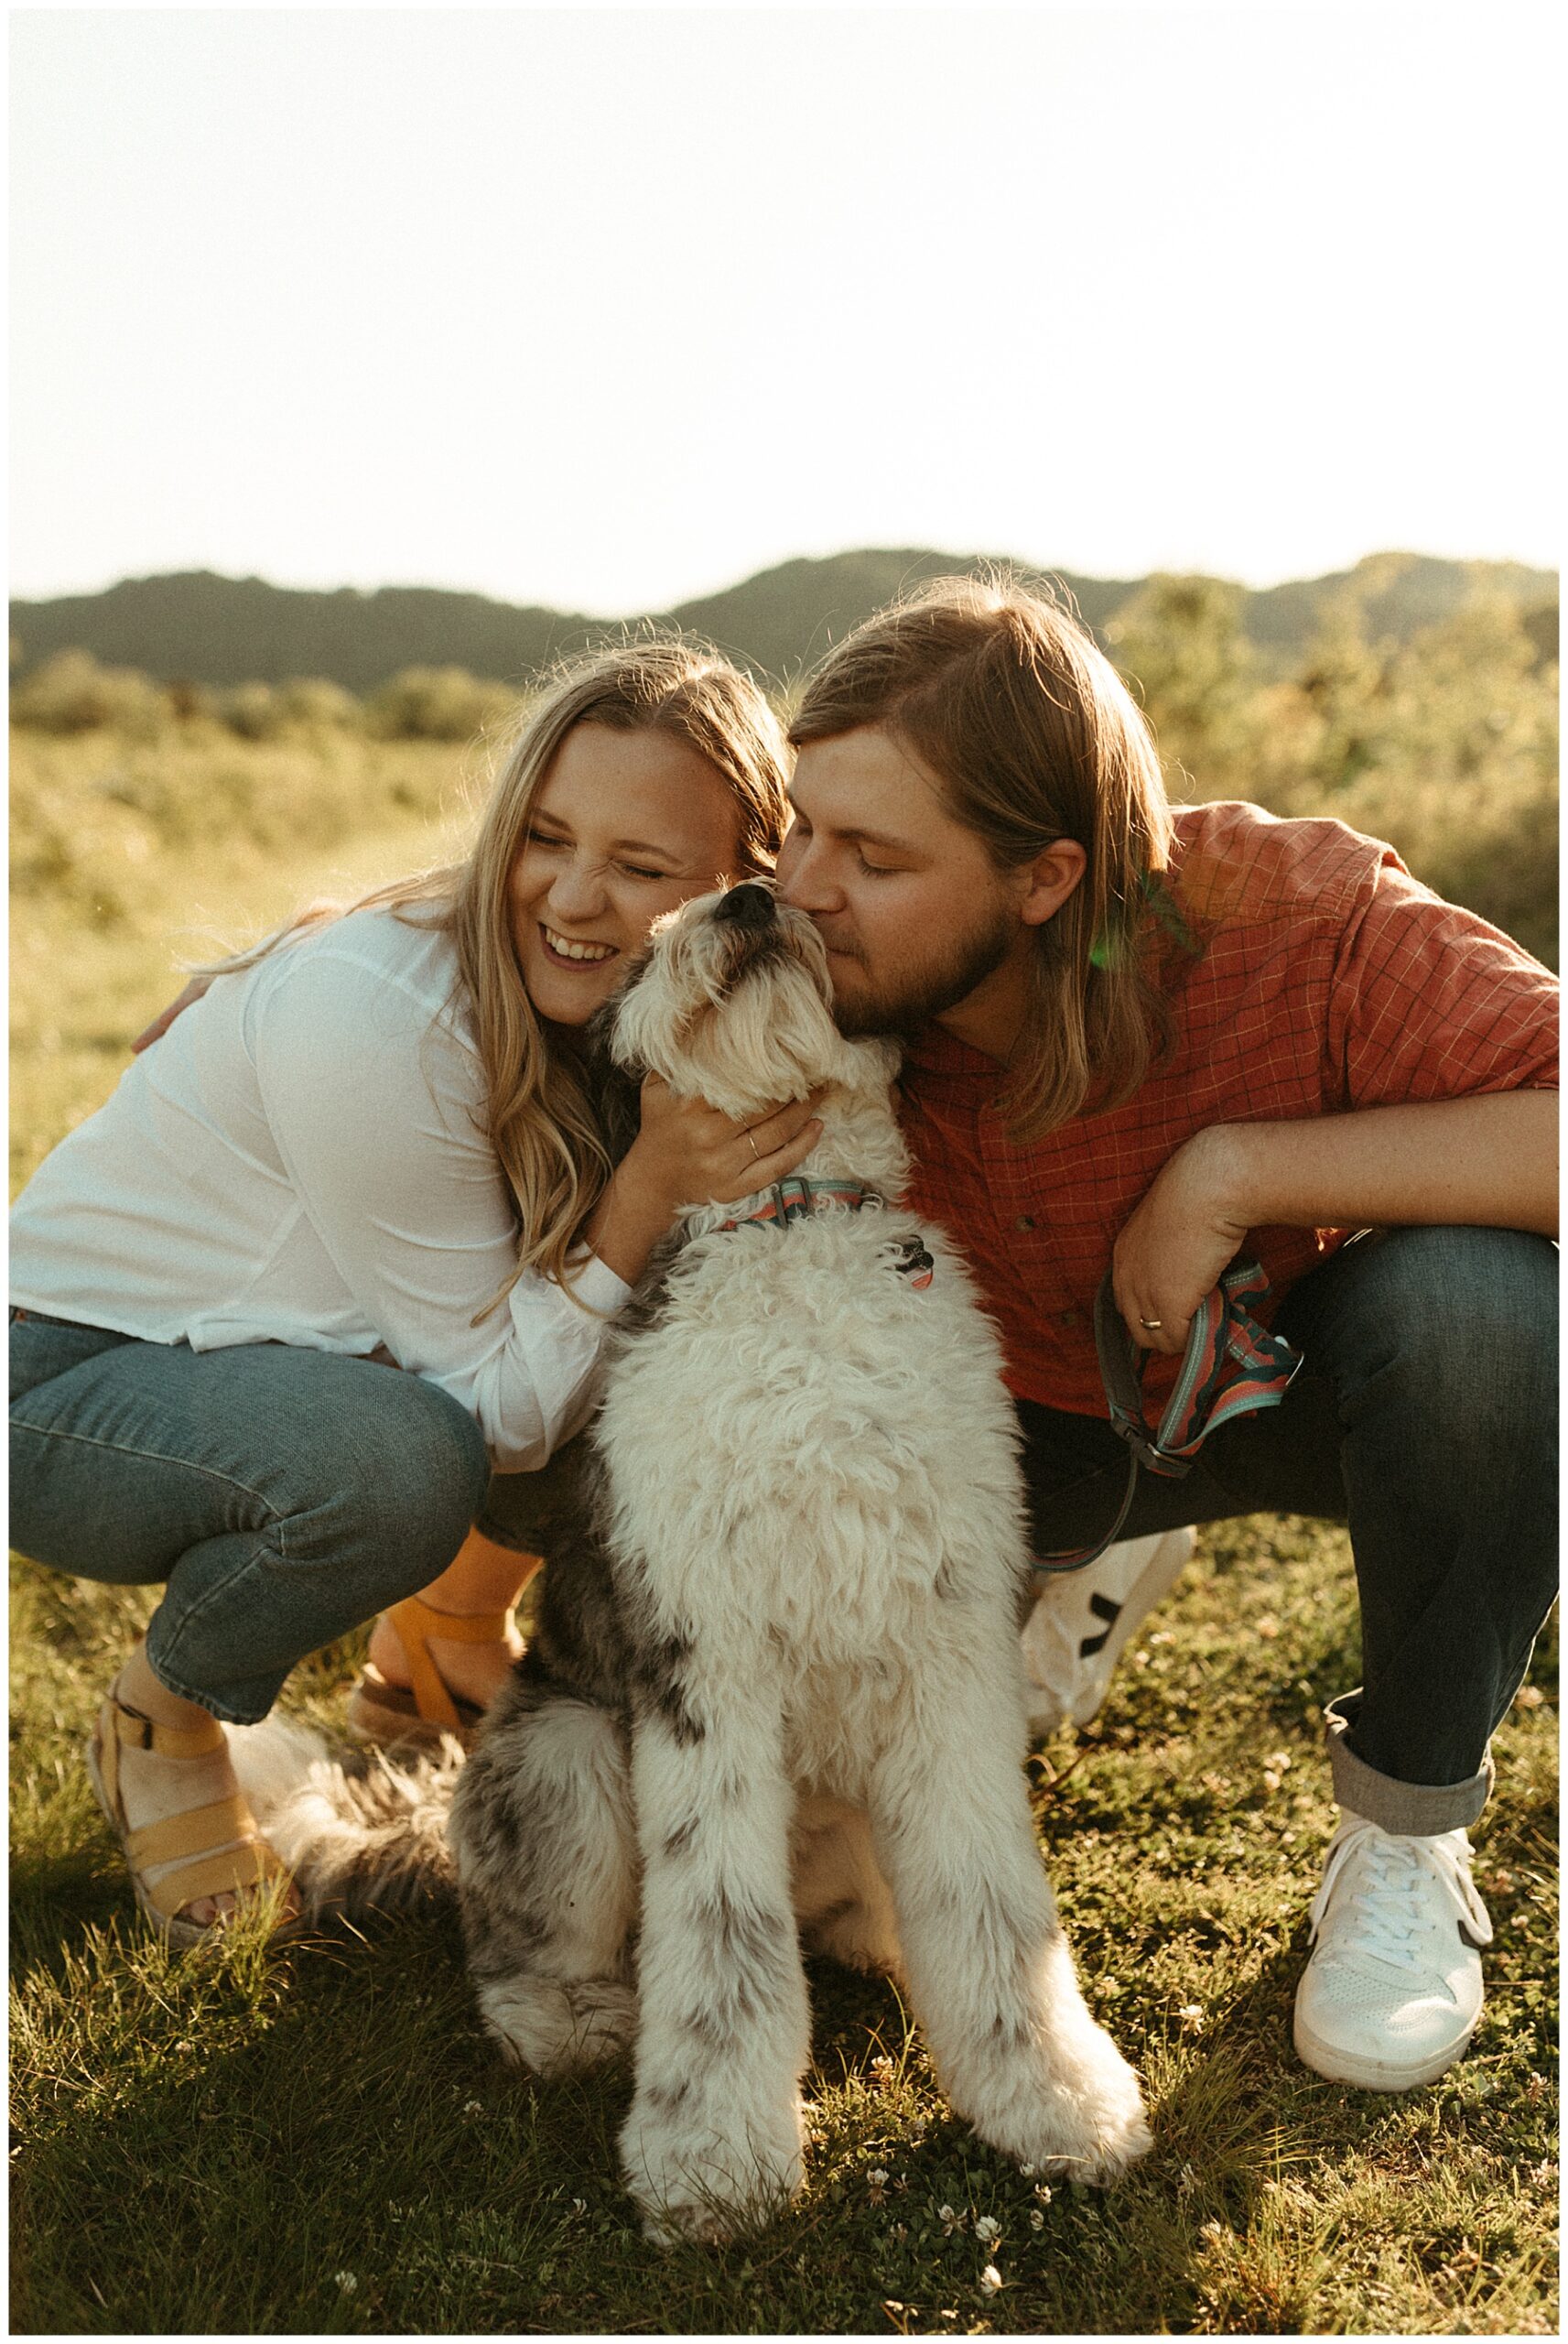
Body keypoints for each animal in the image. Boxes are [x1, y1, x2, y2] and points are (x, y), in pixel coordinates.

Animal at [241, 881, 1148, 2231]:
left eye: (785, 872)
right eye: (639, 947)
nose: (751, 898)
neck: (795, 1227)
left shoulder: (950, 1646)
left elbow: (991, 1898)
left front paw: (1057, 2102)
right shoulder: (700, 1660)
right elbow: (720, 1932)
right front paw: (710, 2158)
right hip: (560, 1750)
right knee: (524, 1951)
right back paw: (572, 2016)